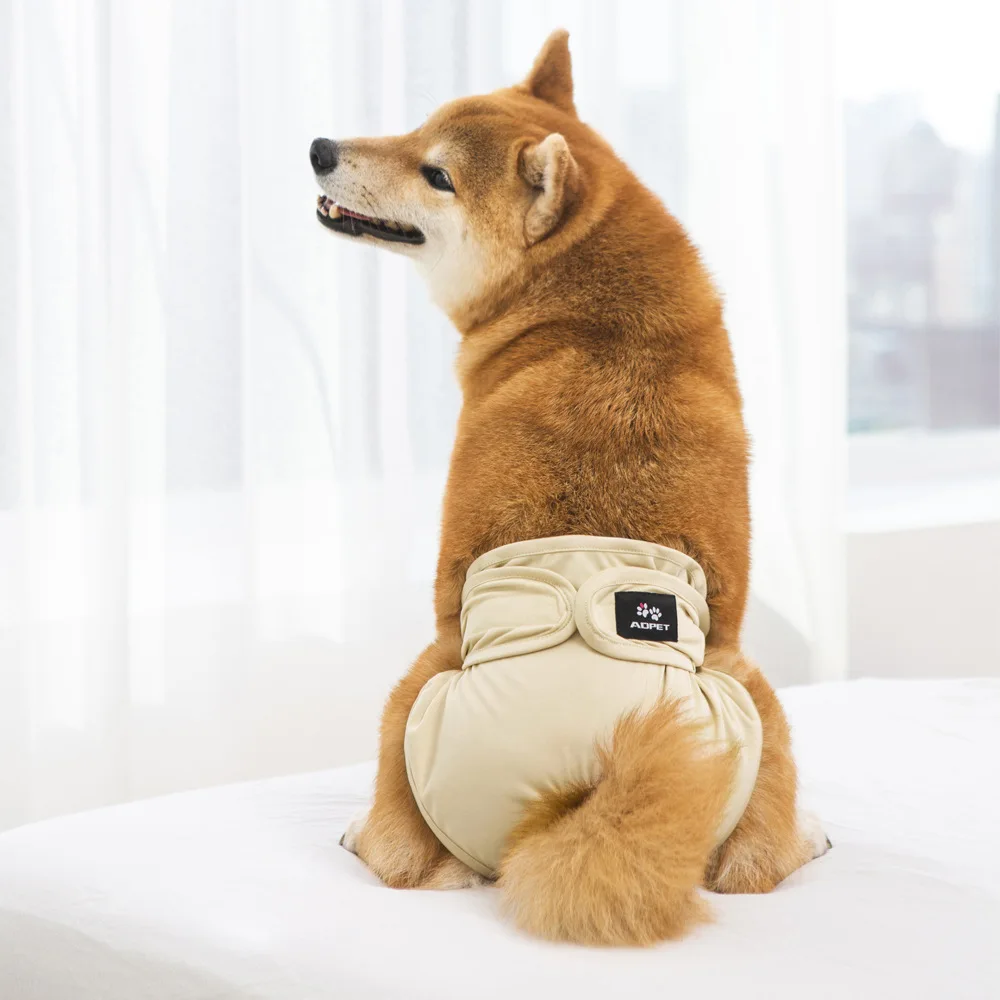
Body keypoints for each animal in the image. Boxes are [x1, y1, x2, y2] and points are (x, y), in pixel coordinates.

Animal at [311, 30, 828, 946]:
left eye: (437, 174)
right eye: (416, 129)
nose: (320, 149)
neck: (589, 309)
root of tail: (590, 780)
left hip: (422, 681)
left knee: (409, 863)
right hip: (748, 690)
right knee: (753, 869)